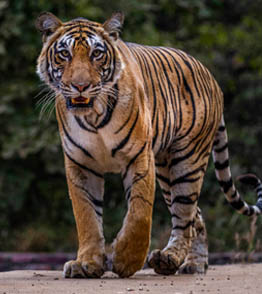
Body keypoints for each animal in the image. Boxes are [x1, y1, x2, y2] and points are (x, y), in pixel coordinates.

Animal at [35, 11, 262, 278]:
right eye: (64, 54)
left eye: (96, 54)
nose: (81, 86)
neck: (94, 116)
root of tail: (211, 77)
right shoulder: (80, 165)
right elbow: (87, 216)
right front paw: (86, 263)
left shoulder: (139, 157)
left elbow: (139, 213)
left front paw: (125, 260)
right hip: (166, 169)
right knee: (195, 217)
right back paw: (194, 264)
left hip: (187, 162)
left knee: (184, 217)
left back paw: (169, 259)